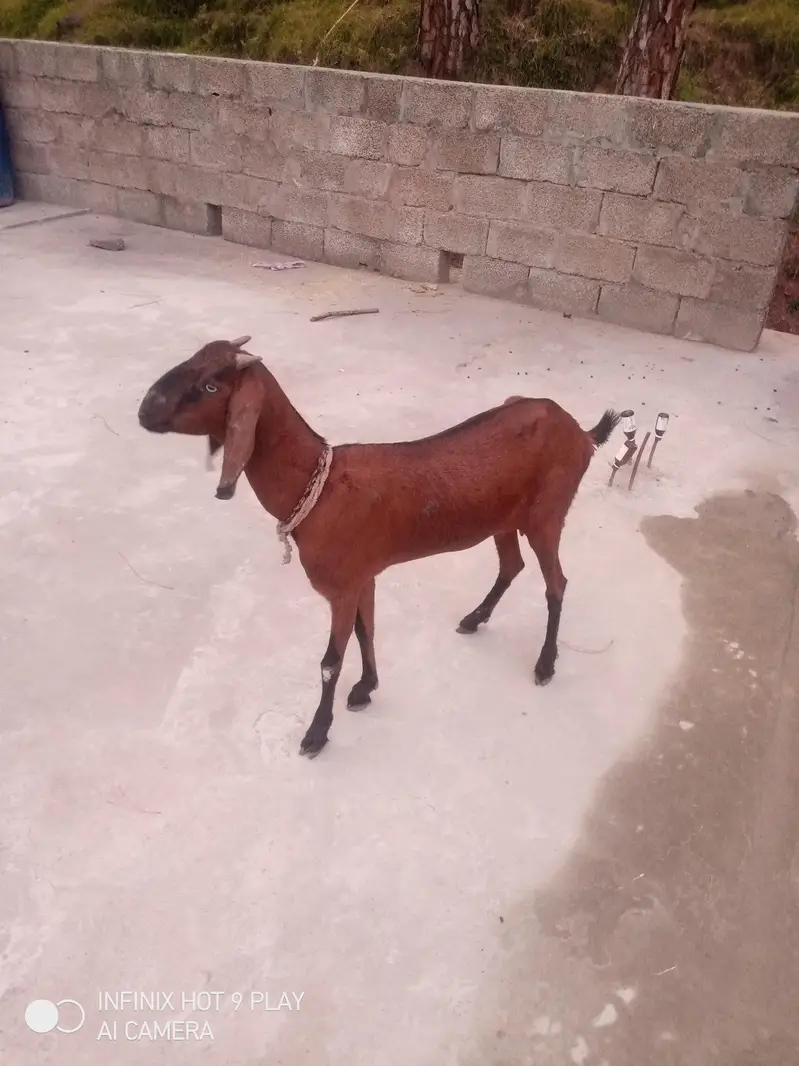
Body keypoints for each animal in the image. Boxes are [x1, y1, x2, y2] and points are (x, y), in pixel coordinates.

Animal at [138, 337, 619, 757]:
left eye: (210, 386)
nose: (144, 410)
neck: (318, 484)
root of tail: (582, 433)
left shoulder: (343, 585)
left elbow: (330, 661)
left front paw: (317, 734)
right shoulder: (362, 576)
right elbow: (365, 631)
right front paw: (366, 688)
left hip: (547, 516)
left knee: (556, 582)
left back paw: (545, 664)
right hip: (505, 518)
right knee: (511, 566)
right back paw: (474, 618)